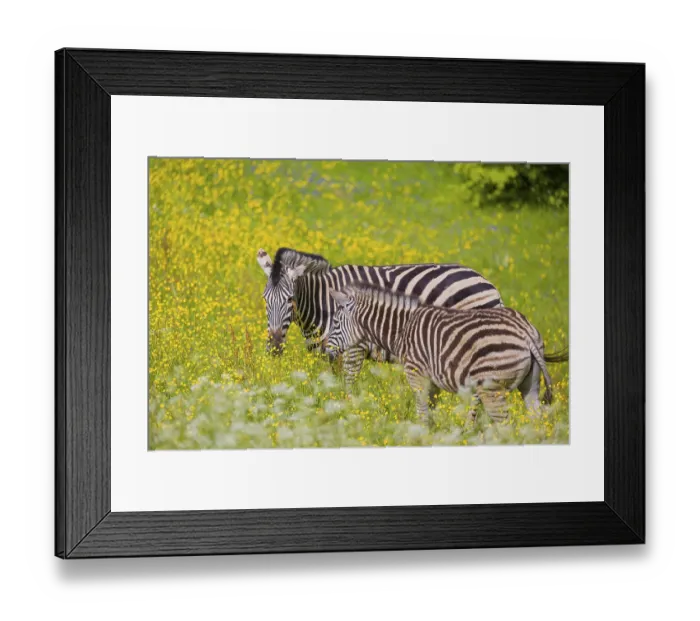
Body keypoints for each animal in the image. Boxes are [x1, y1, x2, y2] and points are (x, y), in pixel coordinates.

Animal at [256, 247, 504, 384]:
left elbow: (348, 386)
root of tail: (485, 280)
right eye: (265, 299)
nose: (275, 347)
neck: (323, 301)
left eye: (290, 299)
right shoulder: (330, 353)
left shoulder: (354, 349)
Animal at [326, 281, 568, 423]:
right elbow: (430, 410)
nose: (327, 351)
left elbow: (422, 410)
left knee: (504, 425)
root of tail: (525, 332)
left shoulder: (416, 373)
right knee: (534, 421)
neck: (403, 328)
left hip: (492, 389)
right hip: (531, 384)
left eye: (335, 322)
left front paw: (420, 438)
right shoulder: (431, 379)